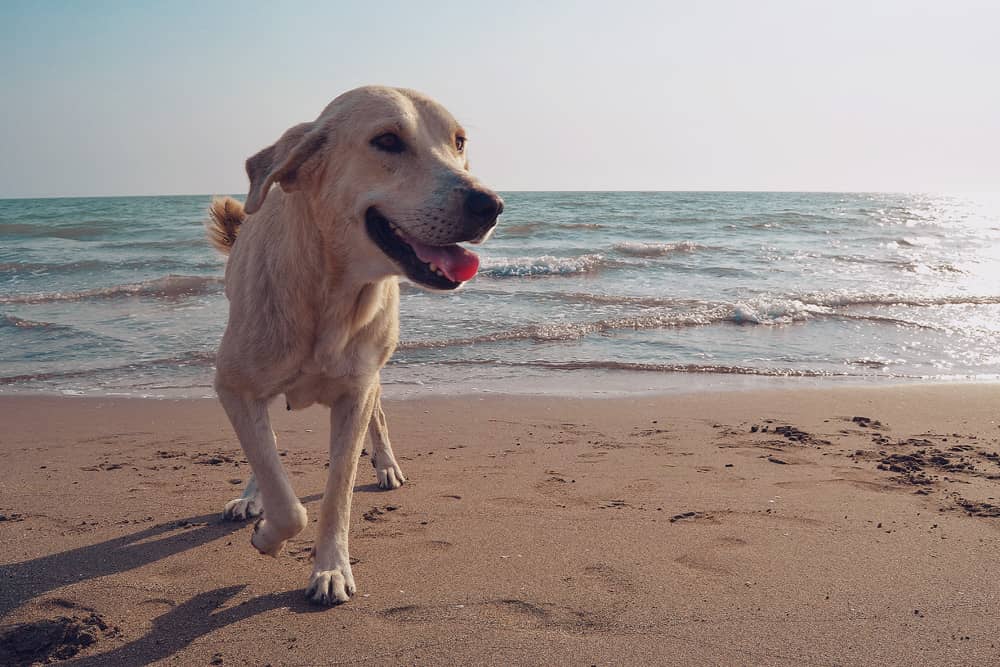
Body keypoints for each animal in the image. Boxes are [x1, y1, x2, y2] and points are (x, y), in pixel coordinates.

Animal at [205, 86, 500, 608]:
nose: (491, 204)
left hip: (375, 369)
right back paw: (251, 496)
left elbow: (337, 492)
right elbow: (281, 487)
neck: (332, 295)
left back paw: (386, 465)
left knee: (377, 414)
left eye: (459, 142)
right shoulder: (233, 384)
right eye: (387, 140)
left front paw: (330, 569)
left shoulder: (355, 393)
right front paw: (267, 530)